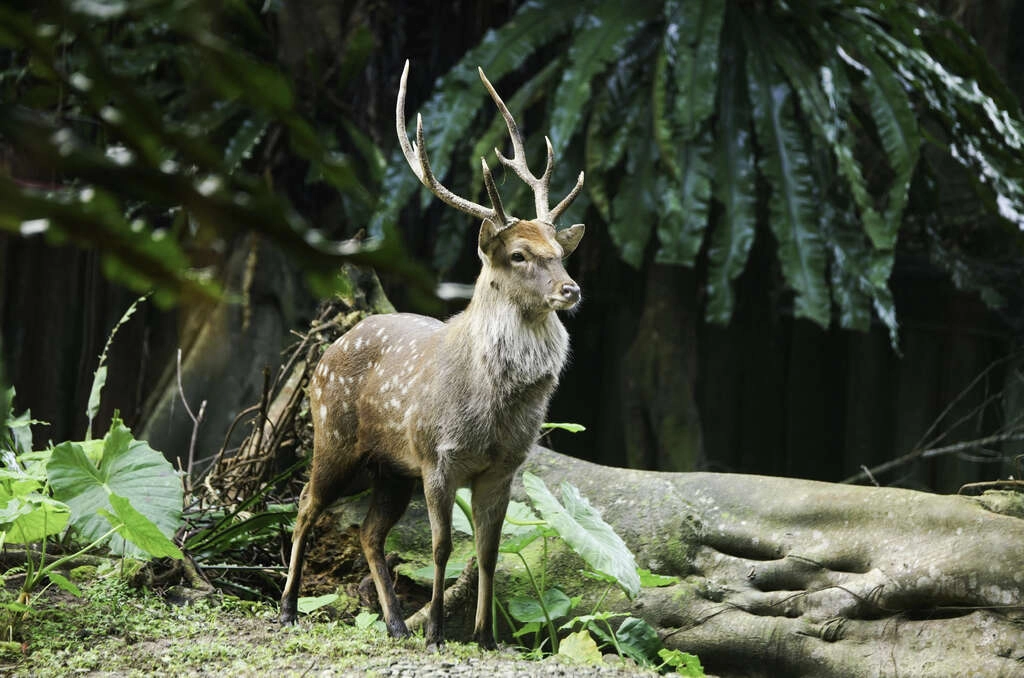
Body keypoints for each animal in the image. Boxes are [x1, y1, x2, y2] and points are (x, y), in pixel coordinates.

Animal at [278, 63, 585, 655]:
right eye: (519, 255)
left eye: (560, 252)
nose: (571, 289)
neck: (491, 413)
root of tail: (327, 353)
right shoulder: (437, 457)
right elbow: (444, 547)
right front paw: (439, 633)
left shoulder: (504, 469)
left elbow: (489, 552)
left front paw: (486, 637)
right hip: (335, 438)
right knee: (304, 506)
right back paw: (287, 610)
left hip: (389, 469)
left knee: (370, 533)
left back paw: (396, 624)